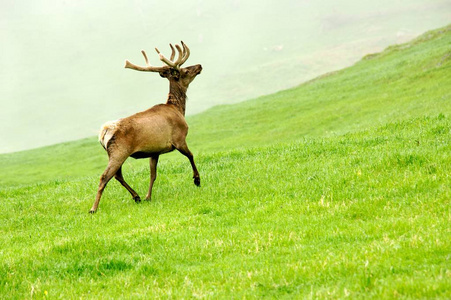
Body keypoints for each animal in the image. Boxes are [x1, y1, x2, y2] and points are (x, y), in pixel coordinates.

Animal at [89, 41, 202, 213]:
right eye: (185, 70)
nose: (200, 66)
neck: (178, 109)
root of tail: (104, 131)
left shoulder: (154, 151)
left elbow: (153, 174)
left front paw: (148, 196)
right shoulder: (179, 138)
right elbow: (191, 155)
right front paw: (197, 180)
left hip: (114, 153)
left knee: (117, 175)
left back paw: (137, 196)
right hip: (119, 151)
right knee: (104, 177)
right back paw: (93, 208)